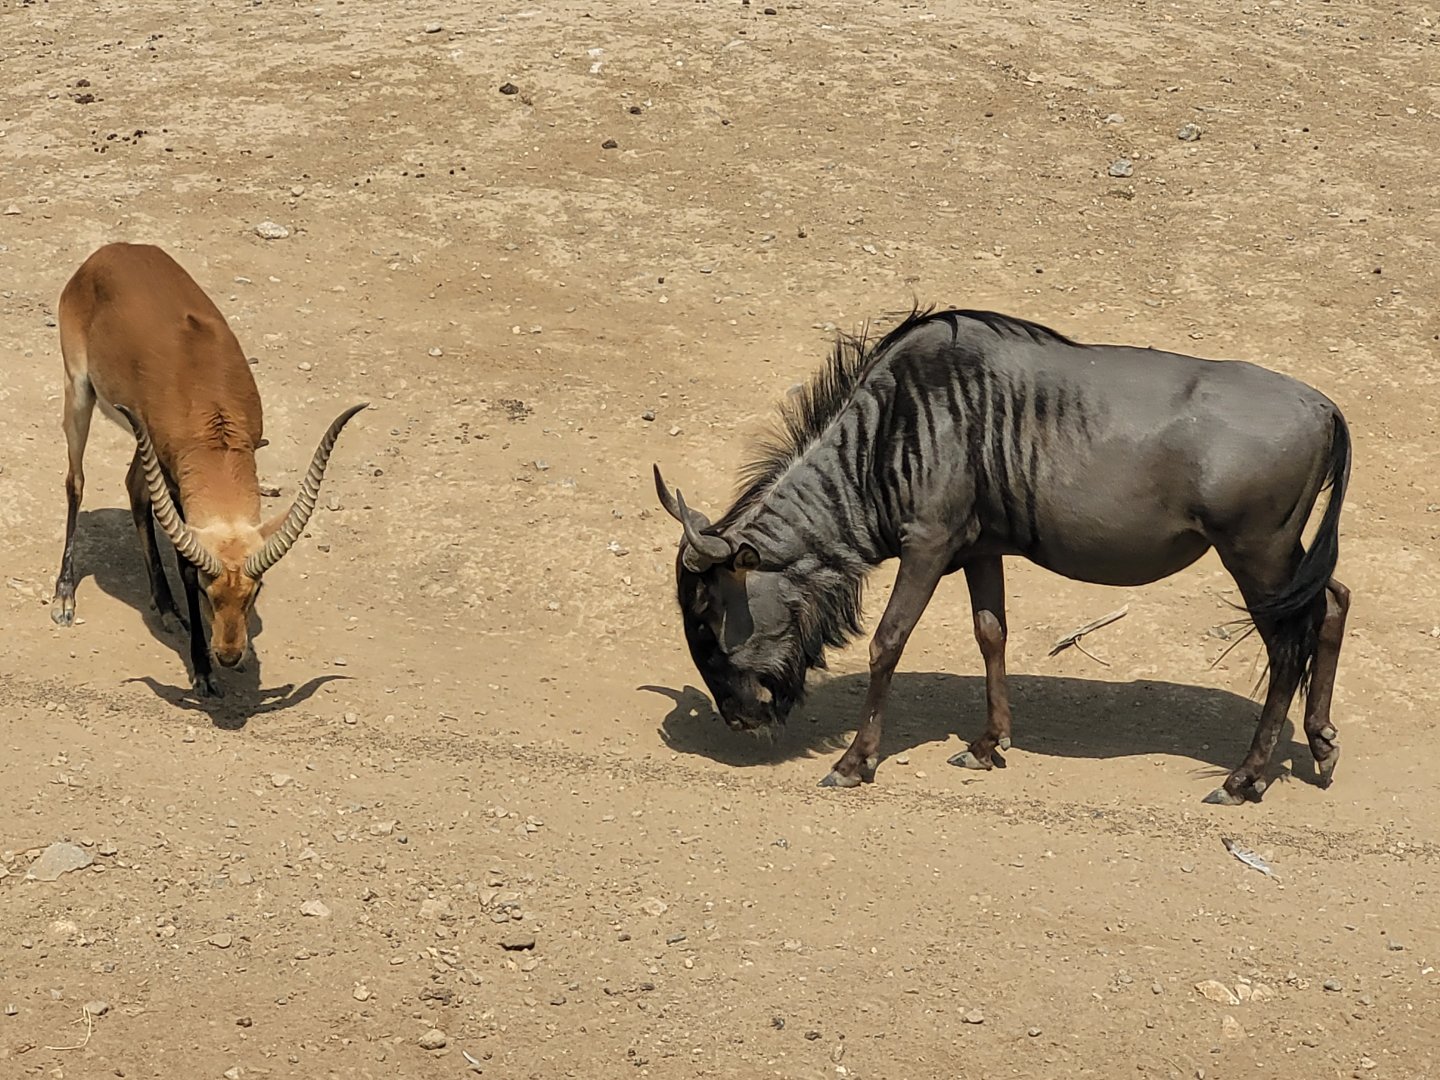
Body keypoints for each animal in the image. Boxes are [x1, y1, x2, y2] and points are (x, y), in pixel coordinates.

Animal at [49, 242, 368, 698]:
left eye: (254, 591)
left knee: (133, 488)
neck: (208, 404)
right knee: (75, 482)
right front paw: (201, 671)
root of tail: (111, 251)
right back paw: (64, 599)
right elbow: (183, 562)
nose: (230, 655)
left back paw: (166, 608)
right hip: (79, 391)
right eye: (204, 589)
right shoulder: (169, 475)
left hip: (141, 440)